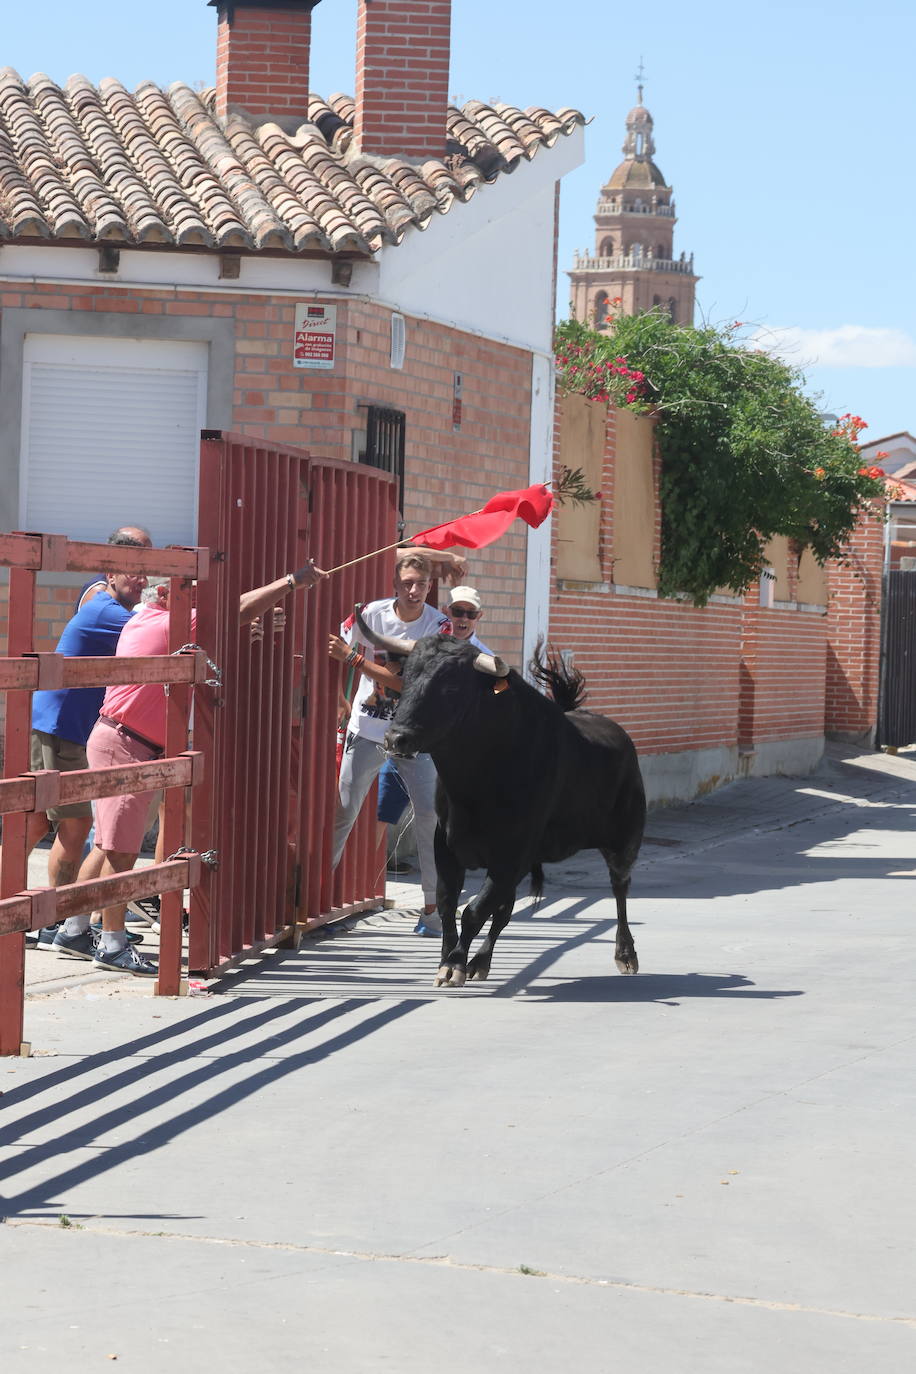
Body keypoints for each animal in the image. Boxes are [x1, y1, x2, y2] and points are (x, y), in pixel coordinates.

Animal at [362, 623, 645, 989]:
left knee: (620, 887)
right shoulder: (448, 847)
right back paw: (481, 962)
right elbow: (450, 904)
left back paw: (626, 954)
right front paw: (448, 960)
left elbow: (474, 910)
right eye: (407, 678)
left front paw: (454, 965)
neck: (474, 786)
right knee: (504, 911)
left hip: (624, 840)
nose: (396, 738)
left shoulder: (511, 855)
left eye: (451, 686)